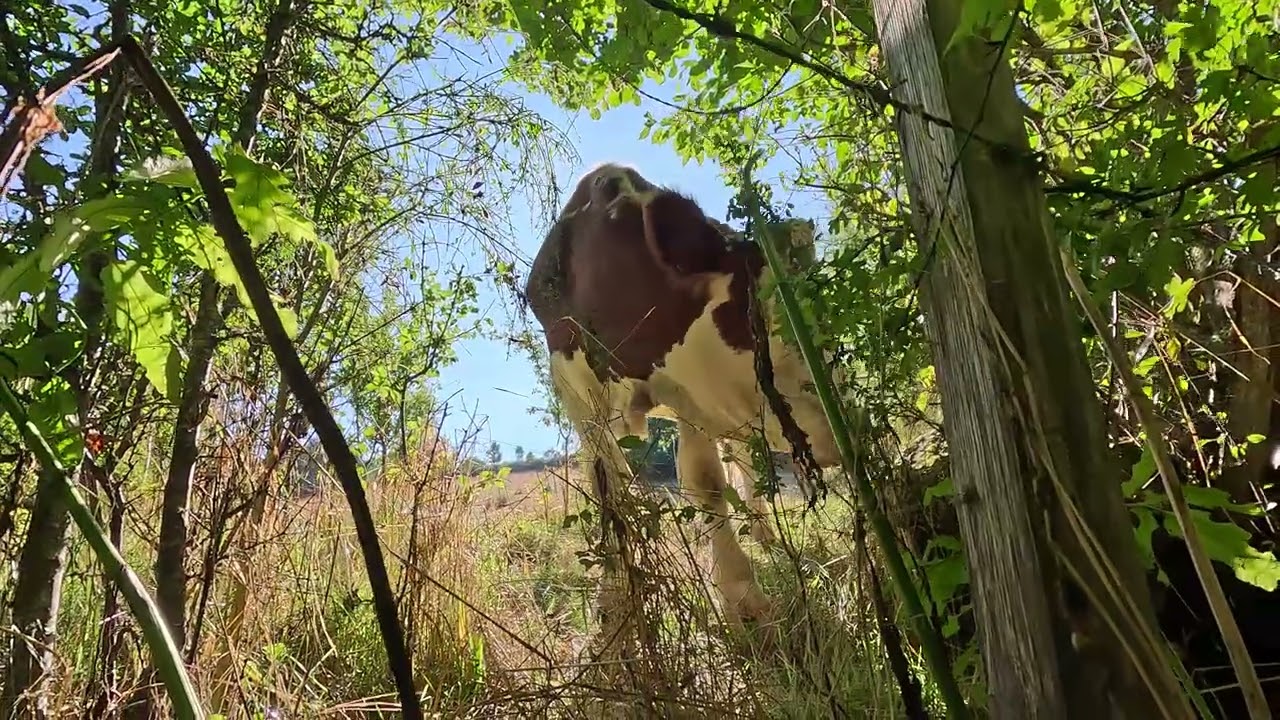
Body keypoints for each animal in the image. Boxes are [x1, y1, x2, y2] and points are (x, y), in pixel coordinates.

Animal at [522, 161, 841, 647]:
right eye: (755, 319)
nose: (842, 423)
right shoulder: (577, 394)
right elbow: (611, 490)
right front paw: (615, 607)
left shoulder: (689, 397)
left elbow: (705, 481)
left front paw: (744, 603)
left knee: (741, 458)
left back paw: (763, 532)